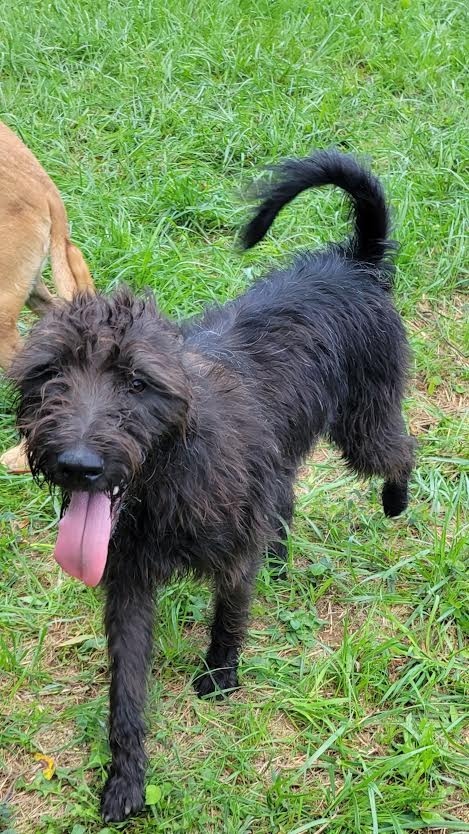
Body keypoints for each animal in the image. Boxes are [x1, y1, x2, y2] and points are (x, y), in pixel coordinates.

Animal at [10, 151, 414, 820]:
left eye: (136, 381)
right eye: (49, 375)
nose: (77, 464)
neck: (168, 475)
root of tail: (355, 262)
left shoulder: (232, 553)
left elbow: (230, 613)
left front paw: (221, 676)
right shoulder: (127, 586)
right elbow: (125, 692)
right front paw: (126, 779)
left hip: (366, 425)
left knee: (402, 451)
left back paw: (396, 500)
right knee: (288, 497)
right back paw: (282, 558)